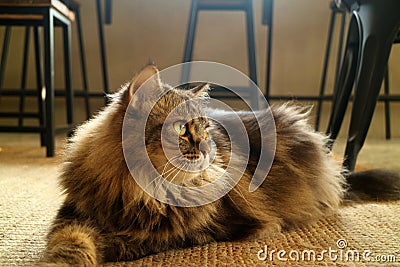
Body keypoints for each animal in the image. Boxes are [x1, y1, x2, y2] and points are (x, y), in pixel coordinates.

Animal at [41, 64, 400, 266]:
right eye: (180, 128)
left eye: (204, 128)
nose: (205, 149)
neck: (136, 191)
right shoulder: (72, 215)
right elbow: (70, 244)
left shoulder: (206, 229)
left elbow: (137, 241)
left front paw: (109, 245)